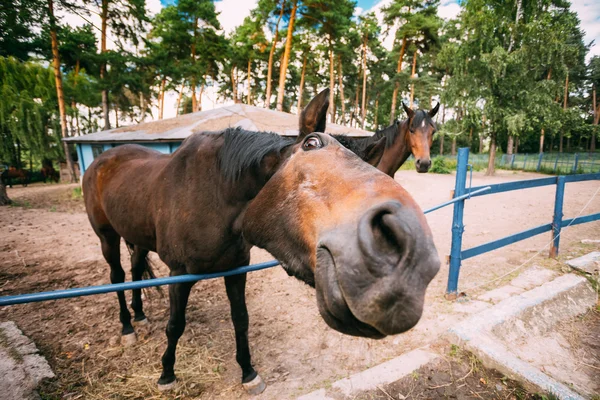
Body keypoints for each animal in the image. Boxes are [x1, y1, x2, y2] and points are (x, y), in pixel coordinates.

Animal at [82, 91, 438, 394]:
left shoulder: (236, 268)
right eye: (311, 143)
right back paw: (127, 328)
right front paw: (167, 374)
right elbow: (175, 325)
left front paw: (248, 373)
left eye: (434, 131)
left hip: (137, 235)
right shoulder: (179, 274)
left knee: (135, 268)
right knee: (116, 276)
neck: (213, 195)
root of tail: (103, 158)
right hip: (106, 236)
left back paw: (140, 315)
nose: (408, 253)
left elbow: (241, 320)